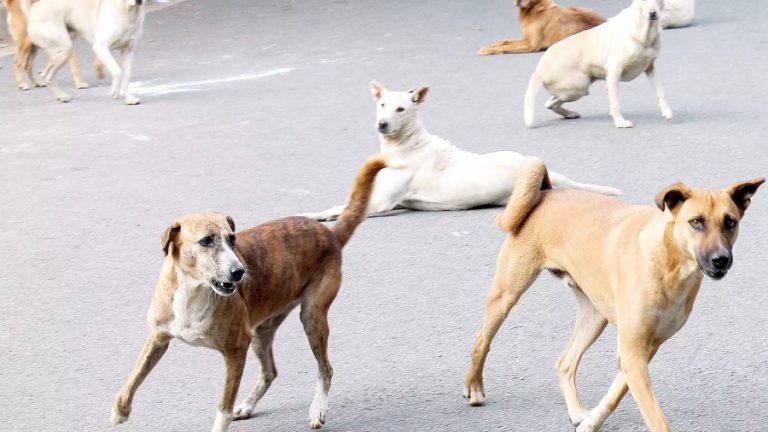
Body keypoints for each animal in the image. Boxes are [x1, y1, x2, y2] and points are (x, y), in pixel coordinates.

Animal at [110, 155, 390, 432]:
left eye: (232, 239)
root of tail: (330, 234)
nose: (239, 272)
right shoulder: (158, 338)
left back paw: (317, 409)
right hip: (261, 331)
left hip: (311, 317)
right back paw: (247, 405)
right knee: (270, 371)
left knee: (326, 369)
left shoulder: (236, 350)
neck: (194, 289)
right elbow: (132, 379)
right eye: (206, 241)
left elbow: (223, 408)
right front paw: (120, 411)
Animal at [296, 82, 620, 223]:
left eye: (401, 109)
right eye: (382, 105)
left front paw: (313, 215)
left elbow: (340, 208)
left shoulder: (380, 202)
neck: (406, 144)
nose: (382, 124)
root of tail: (550, 173)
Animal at [462, 158, 760, 432]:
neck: (669, 262)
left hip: (595, 317)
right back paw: (474, 386)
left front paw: (591, 422)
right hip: (507, 294)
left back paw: (576, 410)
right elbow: (655, 417)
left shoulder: (641, 351)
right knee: (481, 339)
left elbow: (615, 395)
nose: (721, 260)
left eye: (730, 222)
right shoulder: (632, 353)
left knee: (565, 363)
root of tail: (547, 192)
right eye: (696, 222)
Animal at [474, 0, 608, 55]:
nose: (518, 1)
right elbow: (504, 41)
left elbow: (506, 45)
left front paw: (490, 50)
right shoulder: (525, 38)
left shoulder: (531, 44)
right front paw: (489, 47)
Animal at [520, 0, 672, 128]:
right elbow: (615, 102)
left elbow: (661, 91)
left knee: (550, 103)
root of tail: (539, 70)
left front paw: (666, 111)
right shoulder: (614, 71)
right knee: (551, 102)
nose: (652, 13)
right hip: (580, 86)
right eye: (642, 1)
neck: (644, 30)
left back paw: (569, 114)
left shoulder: (650, 68)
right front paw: (620, 122)